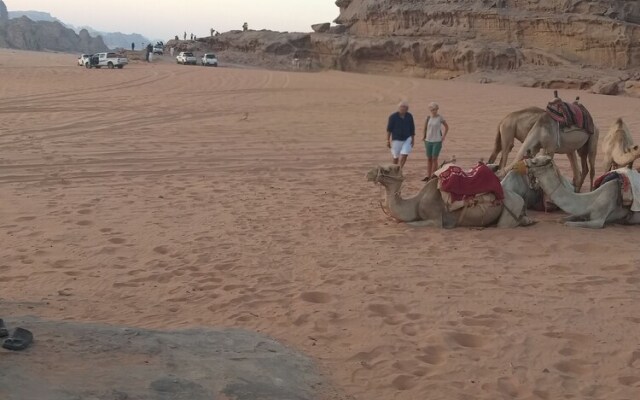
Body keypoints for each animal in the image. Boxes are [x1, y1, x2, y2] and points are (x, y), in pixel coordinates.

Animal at [364, 163, 536, 228]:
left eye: (387, 170)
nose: (368, 174)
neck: (415, 203)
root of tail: (519, 198)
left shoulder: (435, 220)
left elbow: (407, 224)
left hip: (510, 209)